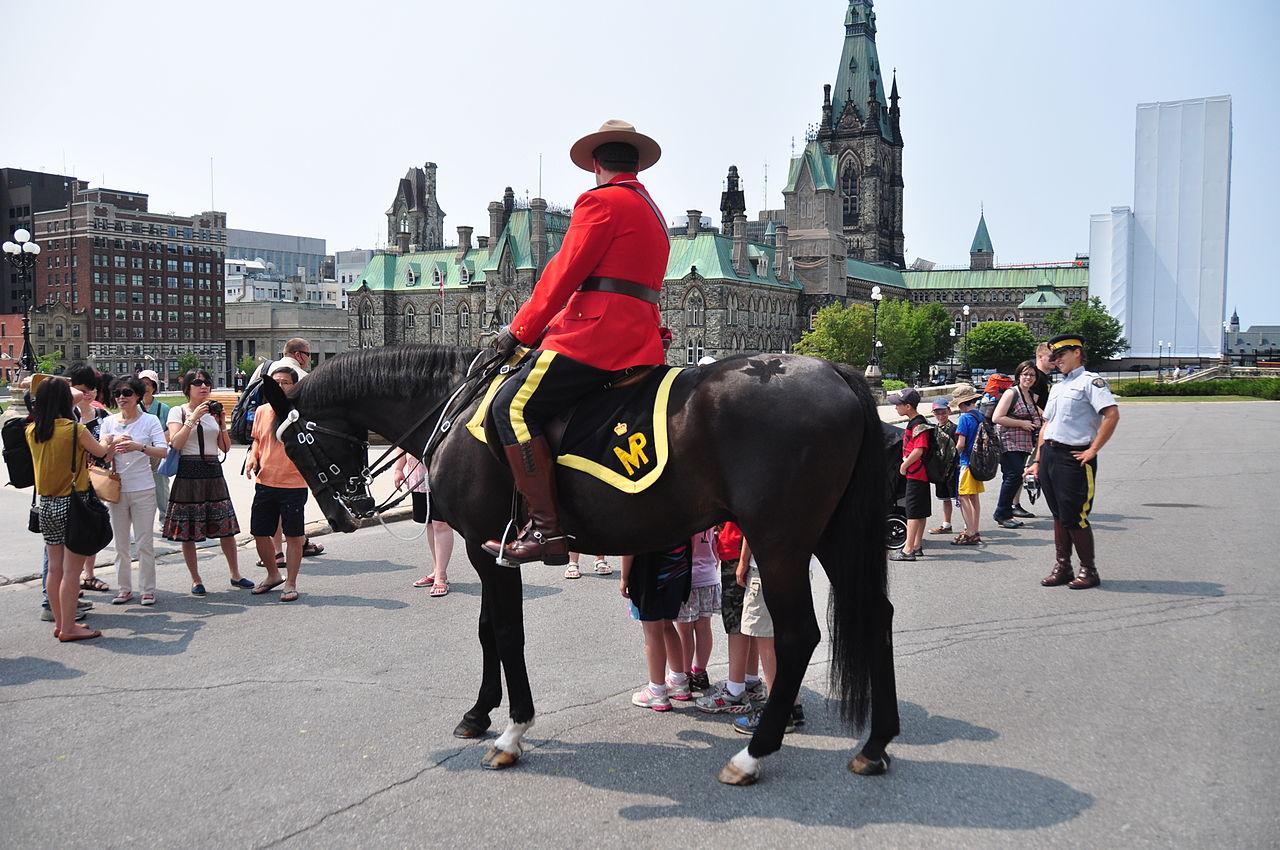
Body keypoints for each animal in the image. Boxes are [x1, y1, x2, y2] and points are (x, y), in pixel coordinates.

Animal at [257, 345, 901, 783]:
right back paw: (875, 744)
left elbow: (506, 632)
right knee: (877, 615)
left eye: (296, 444)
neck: (454, 409)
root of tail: (836, 372)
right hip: (831, 534)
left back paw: (753, 753)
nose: (341, 515)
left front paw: (513, 729)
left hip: (779, 540)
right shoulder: (484, 550)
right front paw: (478, 712)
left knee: (797, 635)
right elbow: (487, 630)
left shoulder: (492, 550)